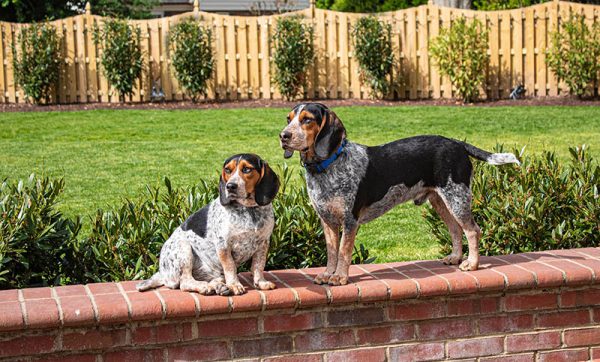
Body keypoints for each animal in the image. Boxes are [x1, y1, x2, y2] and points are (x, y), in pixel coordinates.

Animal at [138, 154, 282, 296]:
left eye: (247, 169)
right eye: (228, 170)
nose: (230, 186)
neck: (249, 210)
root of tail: (162, 273)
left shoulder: (263, 243)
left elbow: (258, 266)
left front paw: (260, 282)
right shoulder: (223, 245)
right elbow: (230, 267)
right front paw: (234, 285)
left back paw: (219, 287)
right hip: (184, 249)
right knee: (184, 282)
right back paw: (205, 287)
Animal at [278, 102, 516, 286]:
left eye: (307, 120)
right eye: (288, 119)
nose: (283, 135)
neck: (327, 166)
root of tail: (457, 143)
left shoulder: (349, 221)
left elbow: (344, 252)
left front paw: (339, 277)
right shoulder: (327, 220)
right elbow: (331, 253)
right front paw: (328, 274)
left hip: (457, 199)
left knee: (473, 230)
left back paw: (472, 264)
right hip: (441, 201)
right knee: (456, 229)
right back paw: (456, 257)